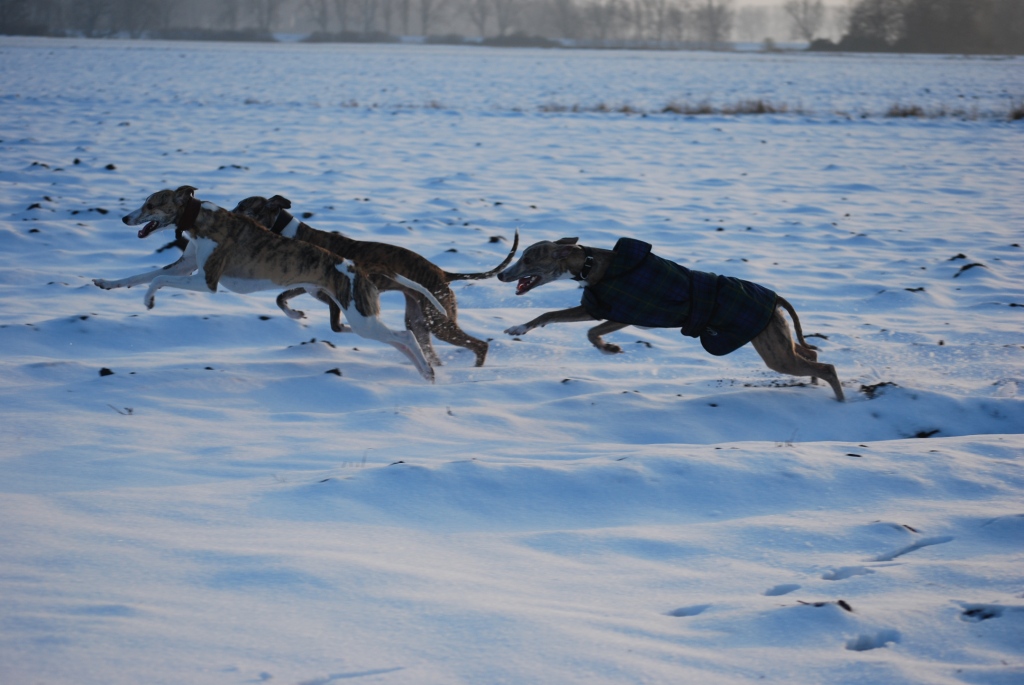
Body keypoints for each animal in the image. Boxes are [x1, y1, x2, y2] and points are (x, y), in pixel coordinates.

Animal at [95, 184, 444, 382]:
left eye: (152, 204)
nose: (125, 218)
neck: (200, 220)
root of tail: (358, 268)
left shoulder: (206, 281)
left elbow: (158, 280)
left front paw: (149, 300)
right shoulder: (186, 265)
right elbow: (140, 276)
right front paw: (106, 282)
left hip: (362, 318)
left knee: (405, 336)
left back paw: (428, 370)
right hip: (359, 316)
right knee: (400, 341)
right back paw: (423, 371)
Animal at [233, 194, 520, 366]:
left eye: (243, 206)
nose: (228, 213)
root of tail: (442, 272)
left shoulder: (335, 294)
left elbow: (335, 324)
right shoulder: (309, 287)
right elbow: (280, 298)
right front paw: (296, 314)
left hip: (439, 321)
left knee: (480, 345)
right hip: (419, 320)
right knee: (432, 349)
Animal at [499, 236, 843, 401]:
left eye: (527, 258)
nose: (501, 274)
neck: (591, 263)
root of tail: (775, 299)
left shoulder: (614, 311)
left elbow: (563, 320)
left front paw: (608, 348)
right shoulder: (616, 313)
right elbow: (570, 323)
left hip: (773, 350)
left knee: (827, 366)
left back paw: (839, 401)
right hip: (778, 342)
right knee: (812, 353)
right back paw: (812, 385)